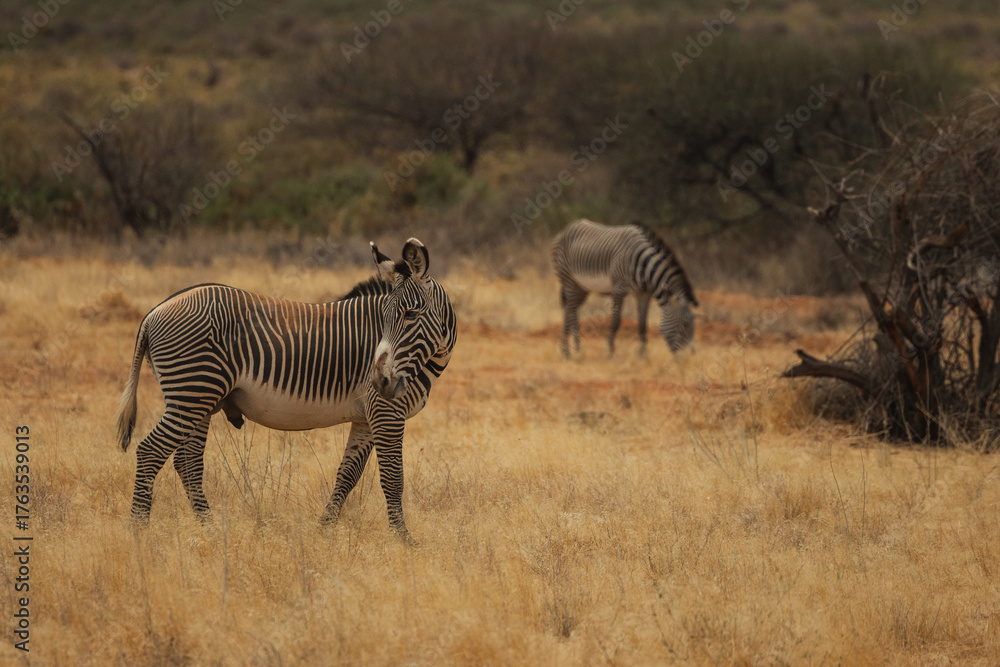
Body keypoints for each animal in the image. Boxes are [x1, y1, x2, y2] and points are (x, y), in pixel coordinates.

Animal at [115, 238, 456, 541]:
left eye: (410, 315)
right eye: (384, 319)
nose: (379, 381)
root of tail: (154, 312)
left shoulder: (365, 417)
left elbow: (347, 475)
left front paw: (324, 530)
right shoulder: (386, 411)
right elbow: (393, 477)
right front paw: (404, 541)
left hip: (200, 399)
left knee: (188, 464)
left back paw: (208, 529)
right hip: (191, 393)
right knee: (150, 452)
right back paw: (139, 532)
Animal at [551, 219, 697, 358]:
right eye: (685, 324)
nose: (688, 358)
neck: (645, 269)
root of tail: (566, 228)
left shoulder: (644, 294)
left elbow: (642, 324)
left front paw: (643, 356)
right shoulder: (618, 290)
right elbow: (616, 321)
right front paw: (610, 353)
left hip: (581, 287)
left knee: (572, 311)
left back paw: (576, 350)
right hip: (569, 280)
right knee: (569, 311)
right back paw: (568, 352)